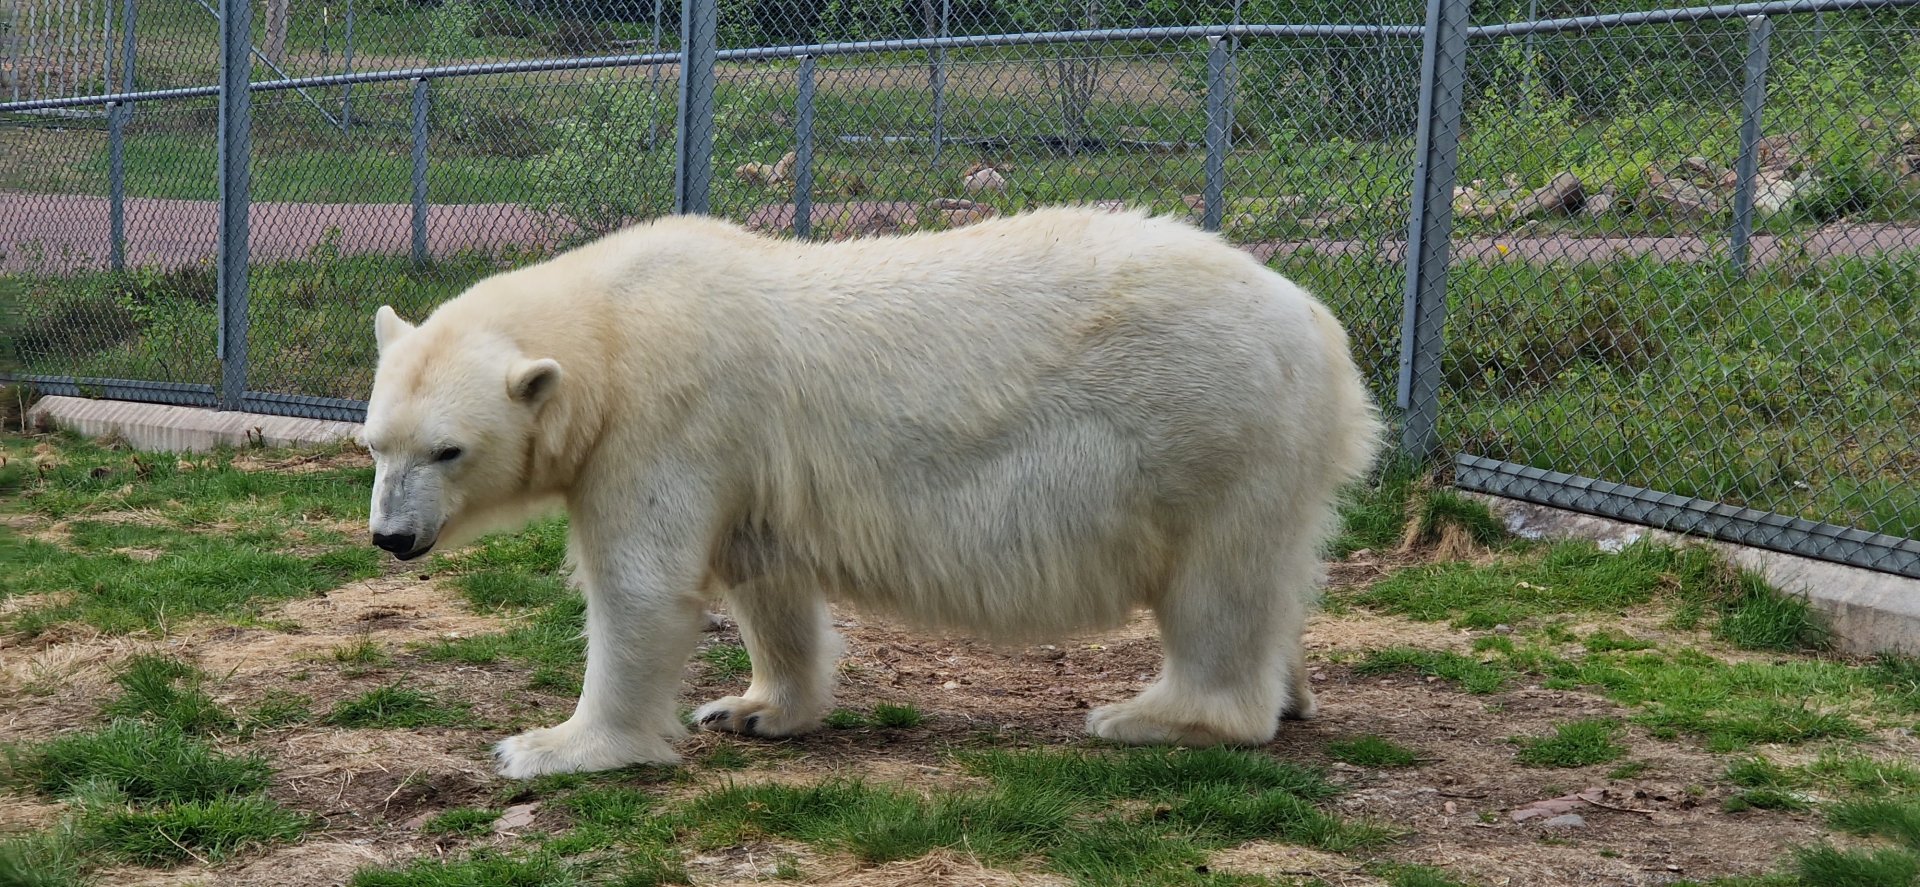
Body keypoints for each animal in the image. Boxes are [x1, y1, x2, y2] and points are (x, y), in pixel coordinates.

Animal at [359, 205, 1384, 779]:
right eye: (375, 443)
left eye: (448, 450)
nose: (391, 537)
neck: (610, 326)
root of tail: (1321, 327)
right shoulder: (749, 458)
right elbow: (764, 575)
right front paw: (752, 707)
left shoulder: (671, 417)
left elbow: (641, 586)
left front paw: (551, 747)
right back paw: (1290, 692)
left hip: (1206, 420)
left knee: (1215, 583)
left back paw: (1158, 716)